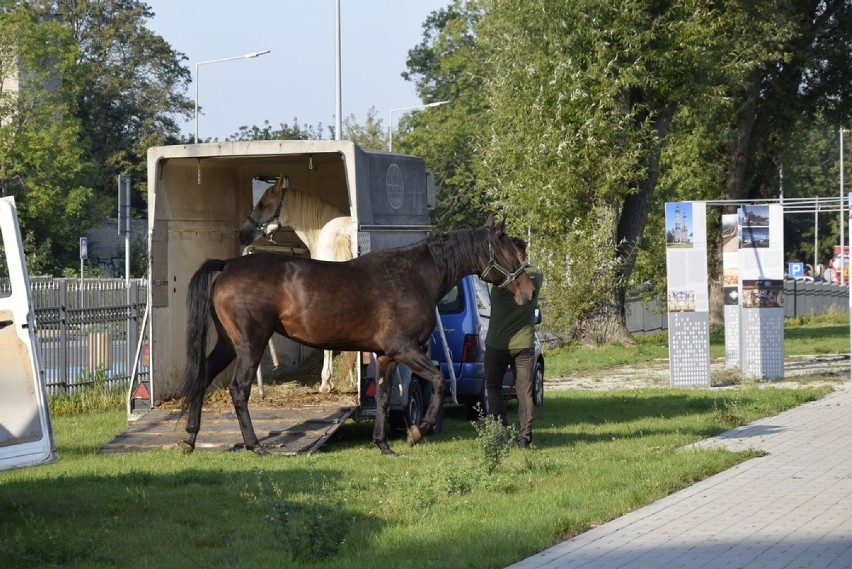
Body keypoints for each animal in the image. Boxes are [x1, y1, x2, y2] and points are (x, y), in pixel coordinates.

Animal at [180, 215, 532, 454]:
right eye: (511, 255)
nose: (528, 292)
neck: (413, 277)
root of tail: (228, 265)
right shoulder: (405, 349)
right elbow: (438, 381)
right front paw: (417, 432)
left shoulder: (387, 356)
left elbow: (386, 397)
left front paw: (383, 444)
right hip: (250, 344)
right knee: (239, 390)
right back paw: (255, 446)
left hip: (229, 344)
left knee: (203, 378)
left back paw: (189, 438)